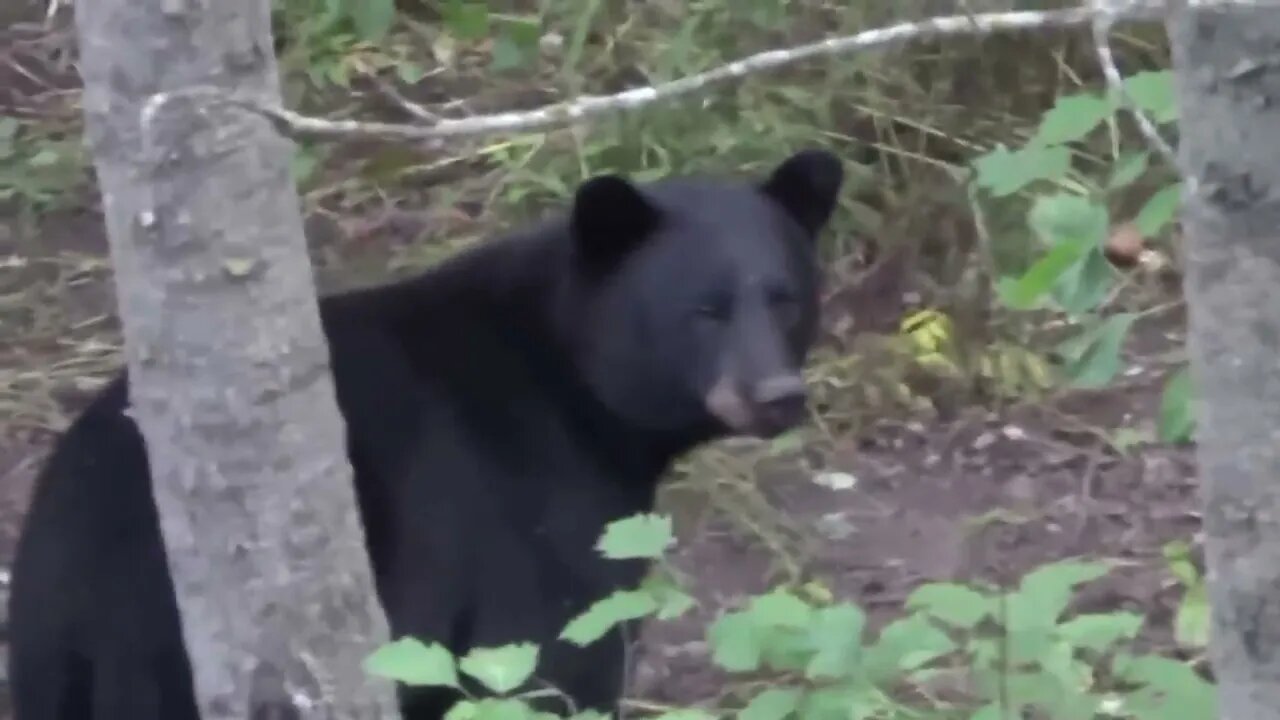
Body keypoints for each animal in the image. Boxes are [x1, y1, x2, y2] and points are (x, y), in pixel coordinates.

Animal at [10, 148, 844, 712]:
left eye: (785, 298)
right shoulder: (523, 505)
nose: (776, 396)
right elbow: (556, 653)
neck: (572, 380)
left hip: (51, 646)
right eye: (703, 310)